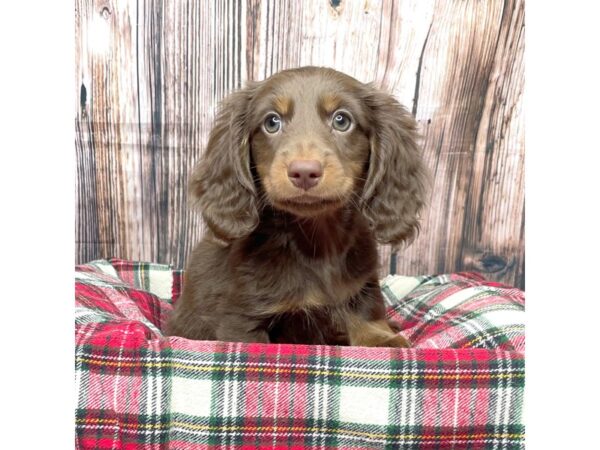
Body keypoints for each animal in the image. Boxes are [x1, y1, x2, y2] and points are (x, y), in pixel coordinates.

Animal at [164, 66, 426, 348]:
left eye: (342, 120)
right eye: (272, 122)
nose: (304, 172)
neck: (317, 241)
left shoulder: (362, 285)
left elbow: (366, 311)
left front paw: (381, 339)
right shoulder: (242, 319)